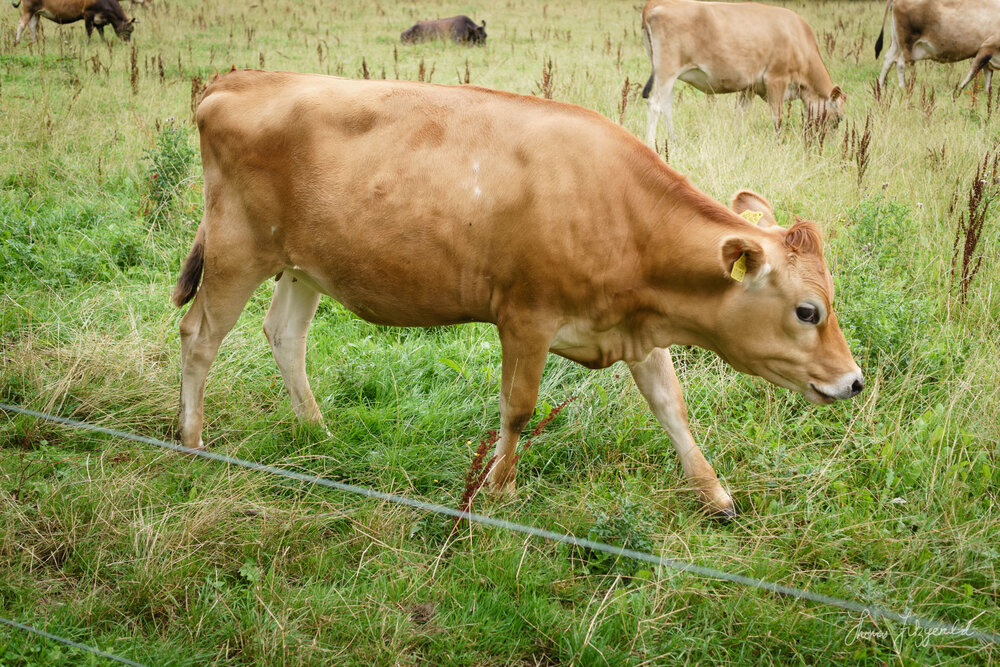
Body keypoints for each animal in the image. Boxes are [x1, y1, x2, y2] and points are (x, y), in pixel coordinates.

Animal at [172, 70, 860, 516]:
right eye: (808, 311)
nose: (853, 381)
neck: (622, 214)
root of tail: (238, 79)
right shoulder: (526, 317)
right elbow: (520, 409)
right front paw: (494, 492)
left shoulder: (636, 326)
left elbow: (672, 405)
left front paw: (715, 493)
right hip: (237, 249)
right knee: (199, 335)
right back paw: (193, 442)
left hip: (303, 265)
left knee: (284, 335)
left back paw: (317, 432)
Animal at [640, 0, 844, 144]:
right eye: (839, 119)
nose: (828, 146)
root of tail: (656, 3)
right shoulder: (776, 79)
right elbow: (777, 118)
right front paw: (778, 144)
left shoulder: (750, 86)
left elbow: (741, 114)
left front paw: (737, 139)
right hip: (666, 71)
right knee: (655, 104)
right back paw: (651, 144)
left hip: (667, 75)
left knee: (666, 105)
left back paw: (673, 140)